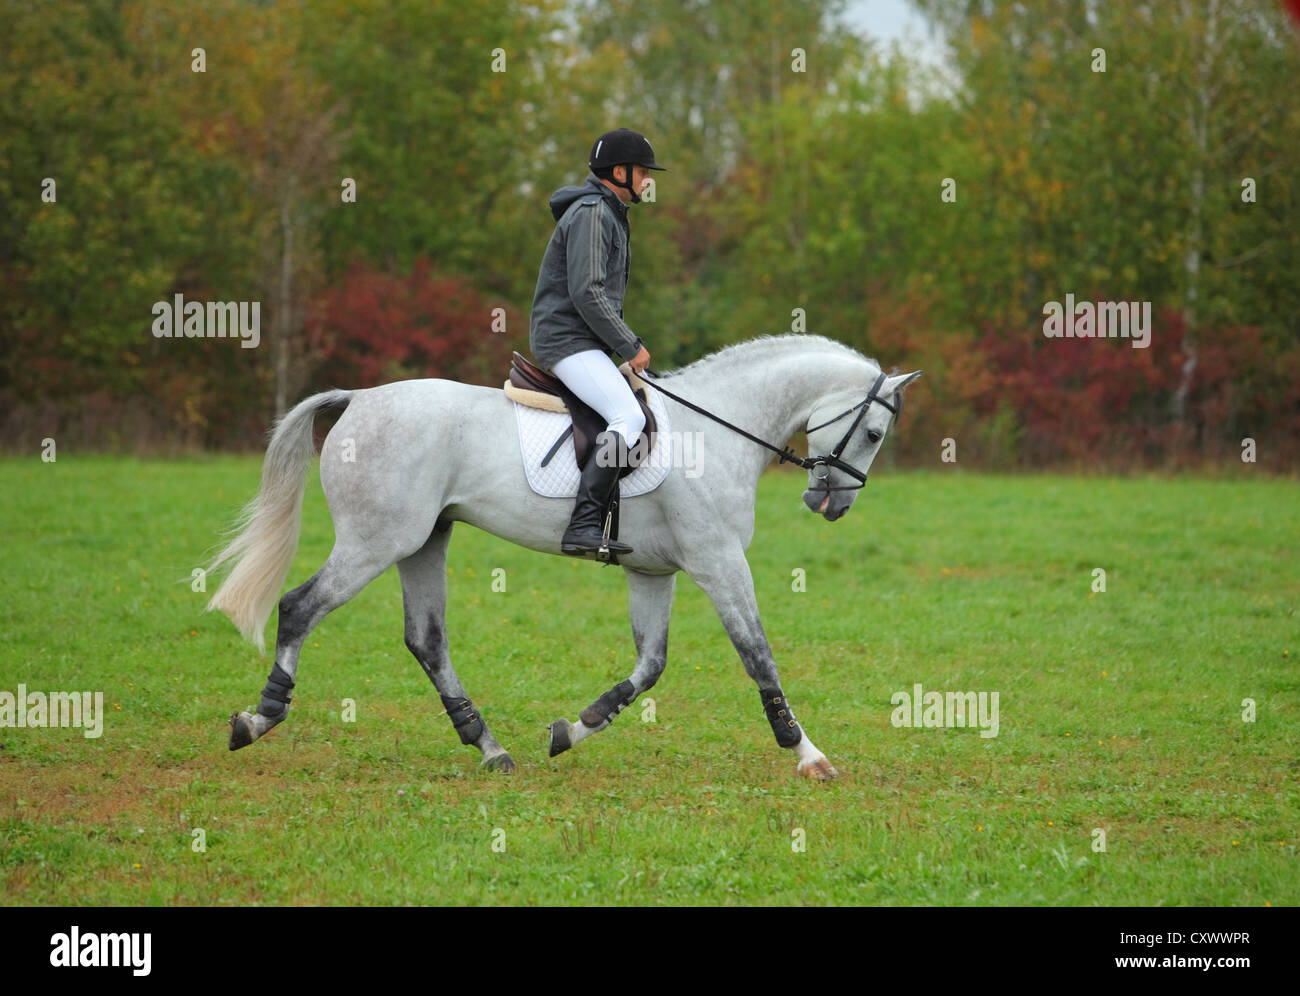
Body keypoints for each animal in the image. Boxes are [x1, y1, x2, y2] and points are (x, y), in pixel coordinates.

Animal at [206, 334, 921, 779]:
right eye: (873, 432)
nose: (831, 505)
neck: (716, 429)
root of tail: (358, 398)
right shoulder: (719, 562)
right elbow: (757, 654)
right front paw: (808, 754)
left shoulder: (653, 571)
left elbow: (649, 667)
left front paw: (571, 730)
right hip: (375, 541)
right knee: (300, 607)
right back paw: (258, 719)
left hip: (423, 541)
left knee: (426, 640)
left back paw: (490, 749)